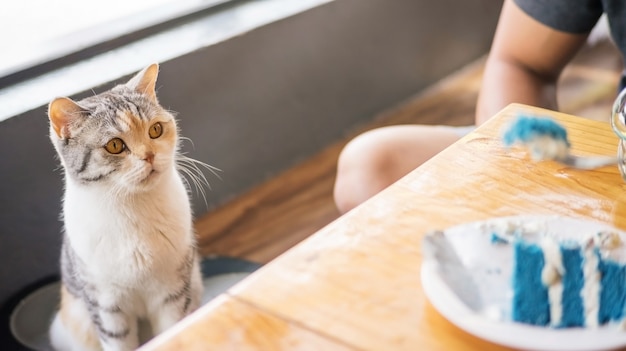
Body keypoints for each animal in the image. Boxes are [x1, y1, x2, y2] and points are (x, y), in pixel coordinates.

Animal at [47, 64, 207, 351]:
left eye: (156, 129)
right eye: (114, 145)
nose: (150, 156)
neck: (132, 206)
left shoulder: (173, 293)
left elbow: (172, 331)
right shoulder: (107, 307)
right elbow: (119, 343)